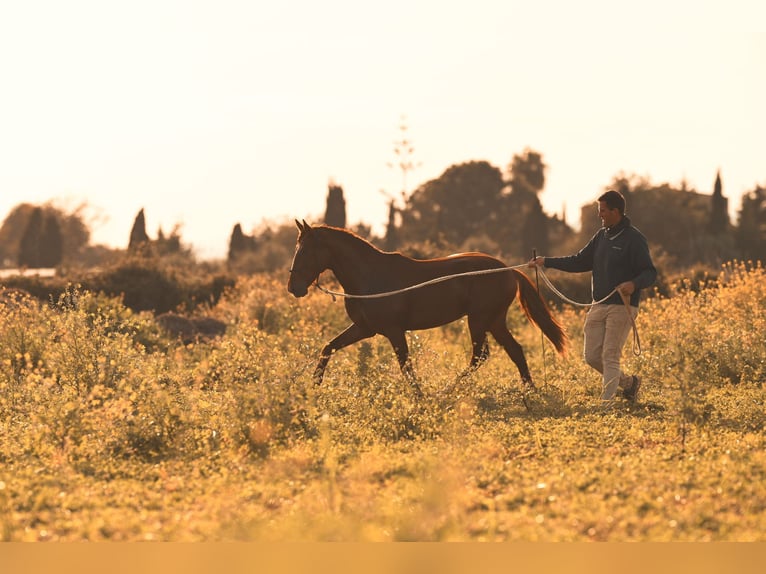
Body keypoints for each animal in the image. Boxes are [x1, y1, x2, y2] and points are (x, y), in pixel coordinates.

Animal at [287, 220, 568, 397]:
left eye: (305, 251)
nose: (293, 287)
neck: (370, 276)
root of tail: (508, 270)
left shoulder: (393, 330)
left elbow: (406, 366)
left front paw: (420, 397)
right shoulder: (364, 328)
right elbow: (328, 347)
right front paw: (313, 386)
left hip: (479, 319)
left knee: (480, 355)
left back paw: (446, 390)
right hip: (494, 321)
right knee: (514, 351)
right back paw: (530, 390)